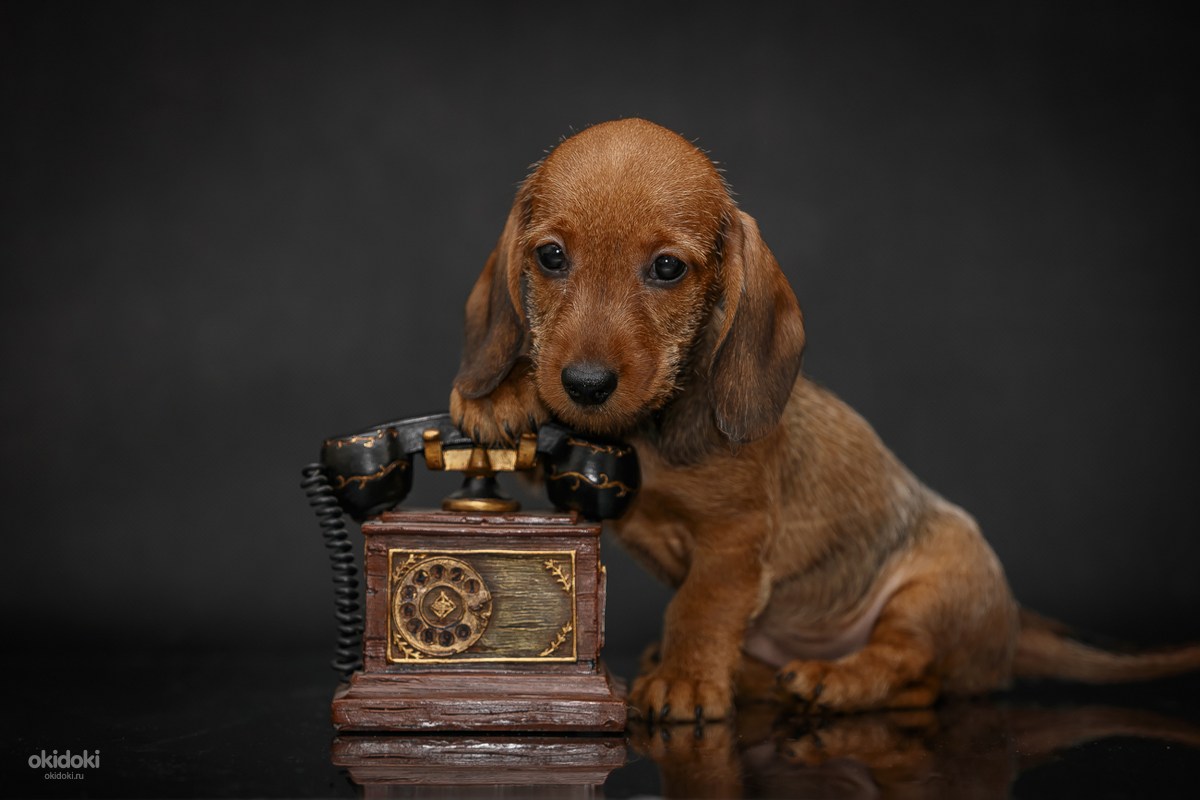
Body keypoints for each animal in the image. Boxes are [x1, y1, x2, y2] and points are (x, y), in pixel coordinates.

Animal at [448, 122, 1200, 724]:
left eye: (666, 268)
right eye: (550, 256)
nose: (585, 386)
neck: (649, 435)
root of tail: (1014, 626)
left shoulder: (734, 541)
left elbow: (699, 606)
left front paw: (688, 681)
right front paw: (500, 393)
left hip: (932, 588)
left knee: (912, 670)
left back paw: (831, 681)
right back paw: (760, 678)